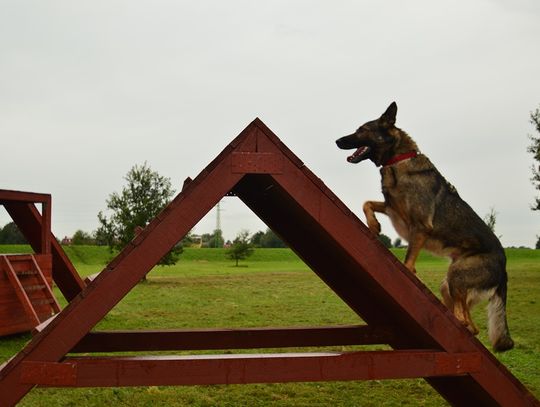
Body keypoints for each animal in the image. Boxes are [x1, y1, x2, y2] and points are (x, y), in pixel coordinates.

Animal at [334, 103, 516, 354]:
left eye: (362, 130)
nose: (337, 141)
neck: (397, 160)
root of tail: (503, 265)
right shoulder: (393, 208)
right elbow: (367, 203)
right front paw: (374, 225)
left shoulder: (419, 227)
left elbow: (408, 261)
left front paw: (408, 272)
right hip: (447, 285)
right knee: (471, 324)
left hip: (457, 276)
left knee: (467, 322)